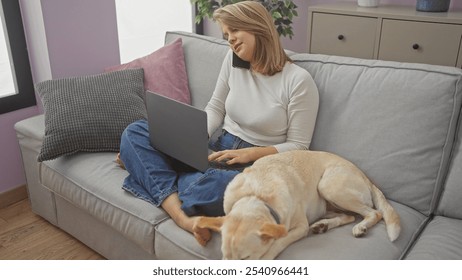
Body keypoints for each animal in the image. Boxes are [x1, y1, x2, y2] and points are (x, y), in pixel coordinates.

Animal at [195, 151, 400, 260]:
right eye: (224, 255)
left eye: (245, 257)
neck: (256, 195)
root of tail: (366, 177)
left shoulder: (299, 228)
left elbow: (278, 243)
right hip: (329, 202)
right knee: (349, 216)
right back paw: (322, 225)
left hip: (328, 185)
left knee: (374, 213)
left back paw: (360, 227)